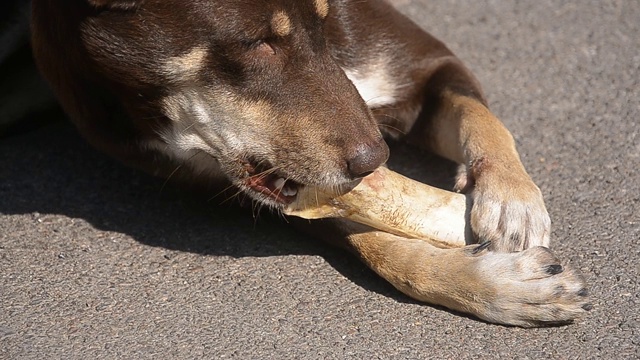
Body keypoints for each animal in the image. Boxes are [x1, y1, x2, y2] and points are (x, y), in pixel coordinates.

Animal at [30, 0, 592, 326]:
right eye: (256, 42)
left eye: (325, 19)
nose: (375, 158)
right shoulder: (267, 189)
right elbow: (380, 247)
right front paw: (499, 286)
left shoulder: (428, 66)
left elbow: (483, 119)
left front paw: (511, 198)